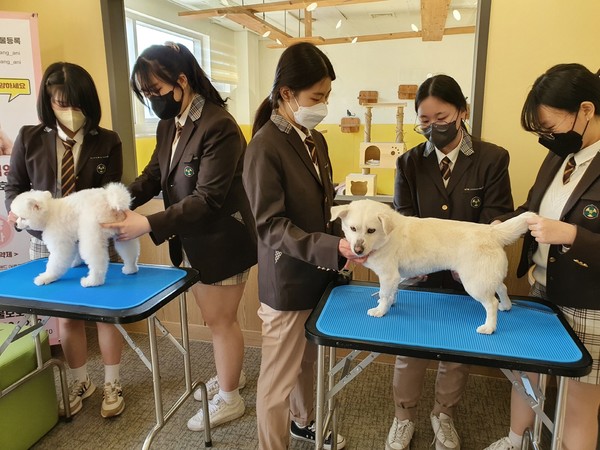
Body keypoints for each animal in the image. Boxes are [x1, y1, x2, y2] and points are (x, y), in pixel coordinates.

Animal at [332, 200, 536, 334]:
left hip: (475, 283)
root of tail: (492, 231)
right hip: (486, 276)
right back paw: (506, 306)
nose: (357, 250)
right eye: (352, 228)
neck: (386, 235)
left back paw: (489, 327)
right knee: (503, 287)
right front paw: (390, 303)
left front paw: (380, 311)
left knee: (491, 303)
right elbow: (391, 293)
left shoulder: (388, 275)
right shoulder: (395, 277)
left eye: (371, 230)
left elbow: (383, 294)